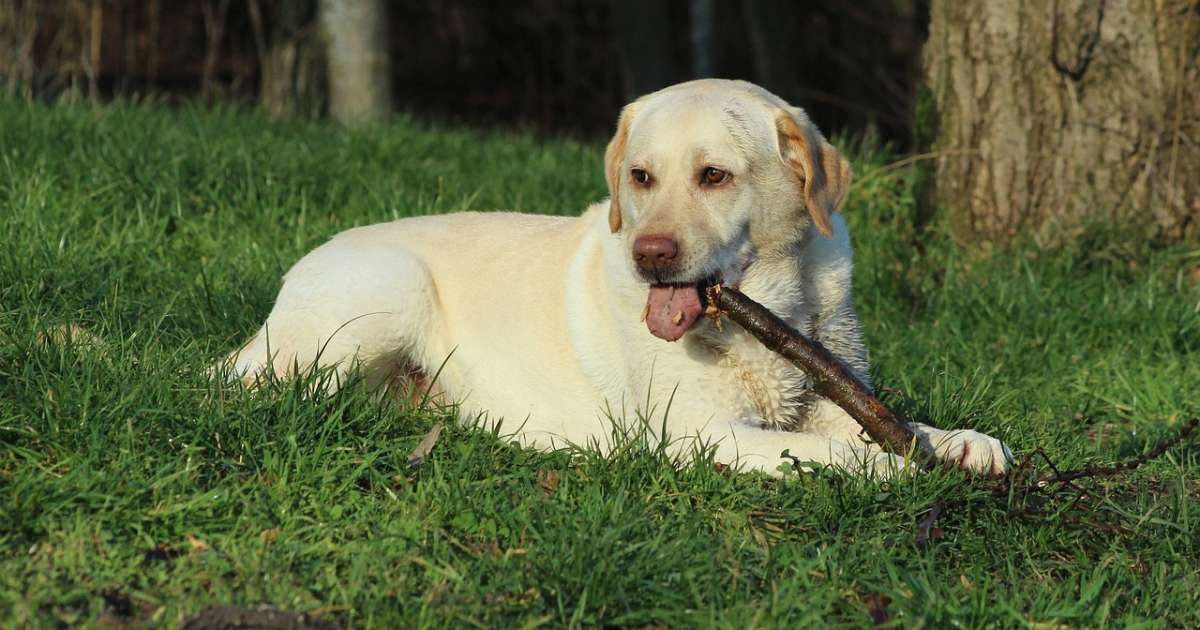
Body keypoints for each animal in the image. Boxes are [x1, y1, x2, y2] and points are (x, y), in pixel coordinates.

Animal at [226, 78, 1012, 475]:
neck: (768, 311)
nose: (650, 254)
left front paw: (960, 442)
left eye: (714, 176)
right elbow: (830, 450)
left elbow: (893, 423)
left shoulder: (825, 394)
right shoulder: (698, 432)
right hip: (386, 292)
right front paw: (898, 468)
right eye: (641, 177)